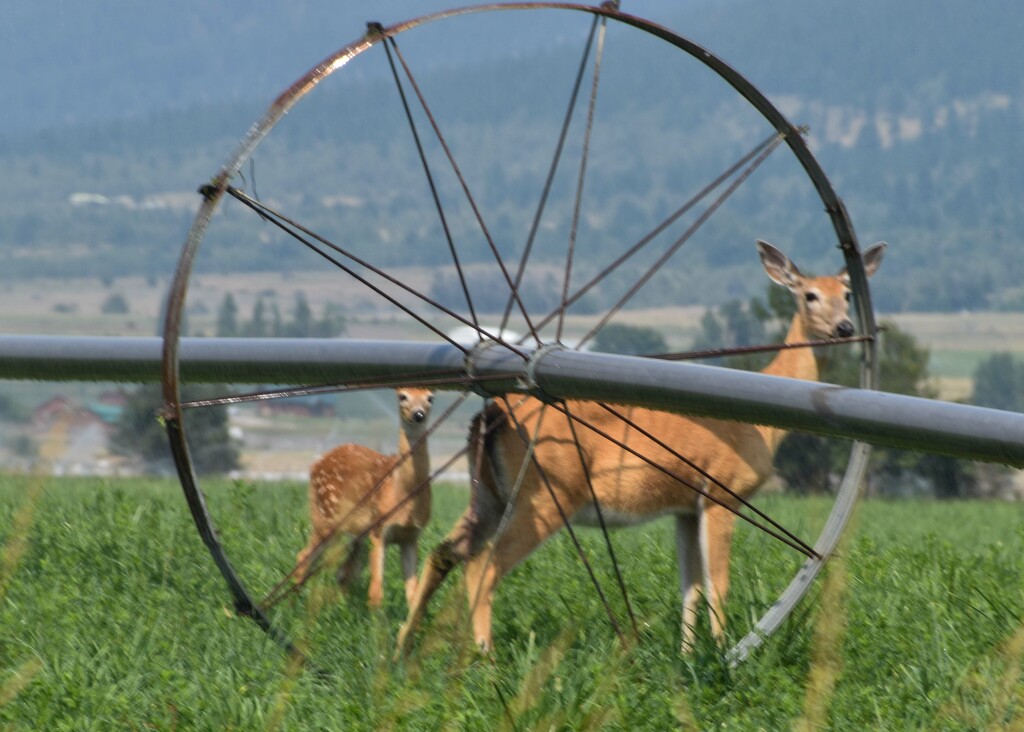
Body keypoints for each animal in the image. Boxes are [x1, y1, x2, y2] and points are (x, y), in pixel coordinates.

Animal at [299, 386, 436, 610]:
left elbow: (413, 595)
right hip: (325, 520)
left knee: (344, 573)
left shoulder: (411, 536)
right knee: (305, 558)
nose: (418, 414)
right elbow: (376, 595)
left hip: (354, 535)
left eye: (430, 398)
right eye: (402, 396)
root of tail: (315, 465)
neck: (403, 496)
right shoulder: (378, 530)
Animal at [395, 239, 884, 651]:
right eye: (810, 295)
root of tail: (490, 414)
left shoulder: (686, 507)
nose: (845, 327)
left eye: (846, 293)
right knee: (483, 565)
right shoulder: (723, 491)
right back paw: (483, 656)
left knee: (446, 552)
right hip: (546, 495)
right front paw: (720, 650)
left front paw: (688, 656)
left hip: (490, 494)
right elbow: (719, 581)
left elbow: (690, 586)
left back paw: (405, 648)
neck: (762, 424)